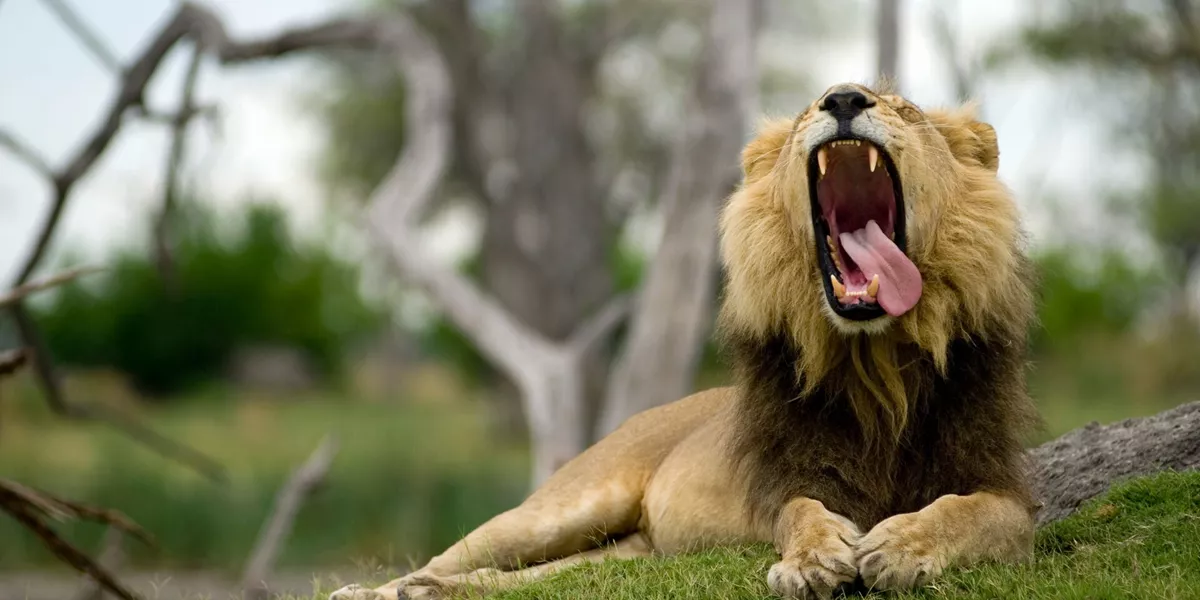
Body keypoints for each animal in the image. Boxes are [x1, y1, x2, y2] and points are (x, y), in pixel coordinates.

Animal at [330, 82, 1039, 600]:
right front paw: (811, 561)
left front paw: (899, 545)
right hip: (558, 510)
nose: (842, 98)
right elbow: (802, 512)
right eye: (810, 108)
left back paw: (425, 594)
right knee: (451, 557)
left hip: (617, 554)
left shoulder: (1003, 487)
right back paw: (374, 591)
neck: (876, 364)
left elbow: (967, 512)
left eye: (907, 110)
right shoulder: (785, 482)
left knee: (509, 581)